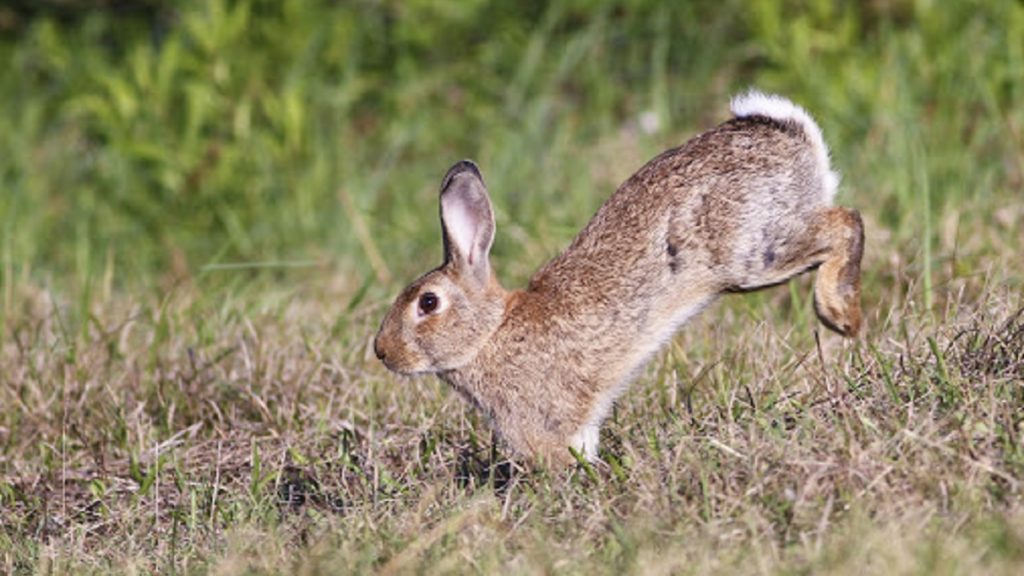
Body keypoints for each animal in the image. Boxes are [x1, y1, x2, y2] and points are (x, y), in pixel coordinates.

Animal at [374, 90, 864, 467]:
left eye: (428, 303)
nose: (382, 352)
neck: (490, 332)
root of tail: (791, 135)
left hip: (753, 252)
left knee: (847, 221)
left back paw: (840, 313)